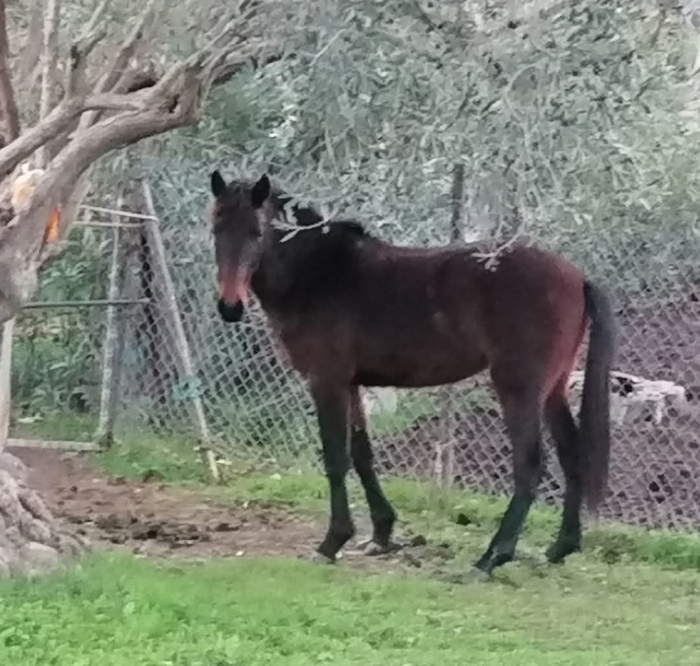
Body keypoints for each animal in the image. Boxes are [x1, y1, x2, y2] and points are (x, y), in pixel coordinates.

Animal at [208, 171, 616, 576]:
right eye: (216, 228)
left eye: (256, 232)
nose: (230, 307)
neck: (320, 273)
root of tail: (577, 277)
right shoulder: (351, 384)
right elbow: (362, 454)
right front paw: (381, 533)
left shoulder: (327, 381)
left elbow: (336, 457)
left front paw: (332, 541)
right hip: (553, 388)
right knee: (571, 454)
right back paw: (560, 547)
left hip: (519, 387)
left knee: (530, 463)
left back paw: (492, 557)